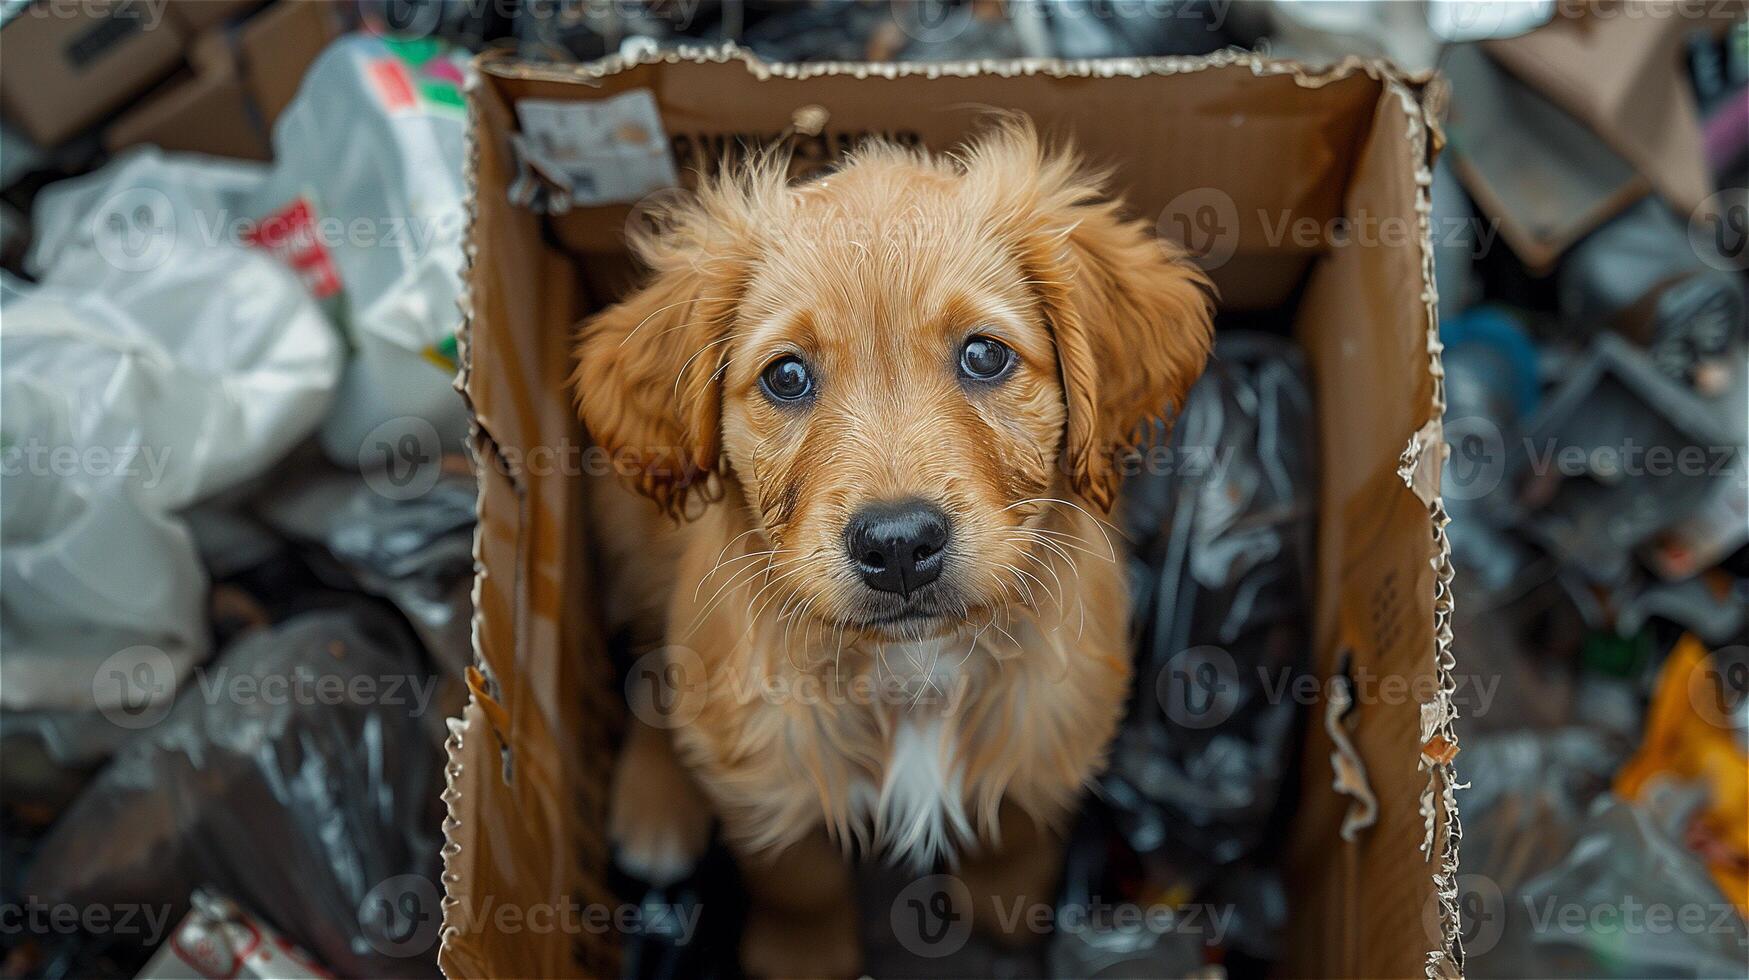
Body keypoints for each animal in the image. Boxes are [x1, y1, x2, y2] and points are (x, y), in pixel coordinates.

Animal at [573, 119, 1217, 973]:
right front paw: (802, 958)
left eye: (984, 354)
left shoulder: (1054, 720)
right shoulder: (769, 765)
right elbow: (797, 876)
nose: (900, 544)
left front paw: (1007, 912)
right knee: (652, 654)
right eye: (785, 376)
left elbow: (1016, 832)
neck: (916, 668)